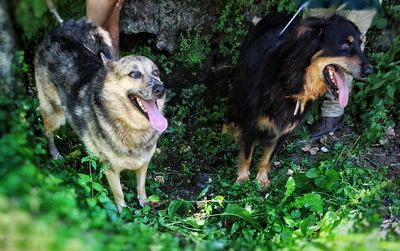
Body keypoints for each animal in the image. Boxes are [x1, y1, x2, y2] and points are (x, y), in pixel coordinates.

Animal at [35, 18, 168, 209]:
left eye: (156, 72)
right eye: (134, 74)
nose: (160, 89)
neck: (132, 126)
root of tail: (58, 31)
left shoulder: (143, 162)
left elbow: (141, 185)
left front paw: (143, 202)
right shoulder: (111, 169)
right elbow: (119, 195)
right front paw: (123, 212)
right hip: (55, 114)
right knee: (47, 132)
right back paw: (55, 154)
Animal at [233, 13, 374, 188]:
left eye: (361, 43)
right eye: (345, 45)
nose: (370, 70)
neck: (293, 81)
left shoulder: (284, 129)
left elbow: (267, 157)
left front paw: (262, 179)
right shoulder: (252, 122)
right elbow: (246, 153)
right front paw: (243, 178)